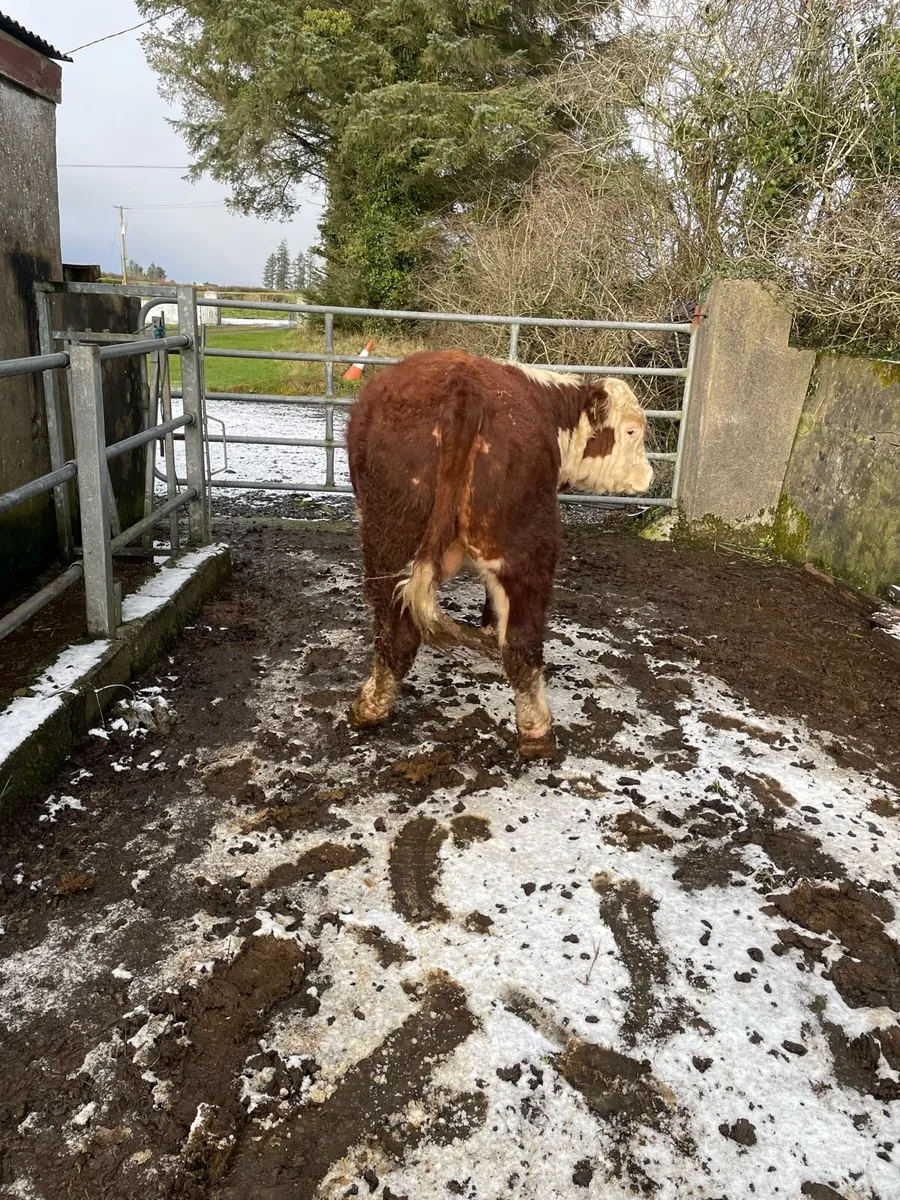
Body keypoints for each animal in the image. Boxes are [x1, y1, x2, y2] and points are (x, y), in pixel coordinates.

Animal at [346, 349, 653, 759]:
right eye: (632, 431)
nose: (649, 477)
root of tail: (463, 389)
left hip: (392, 542)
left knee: (398, 633)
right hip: (513, 546)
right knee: (518, 644)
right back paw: (536, 734)